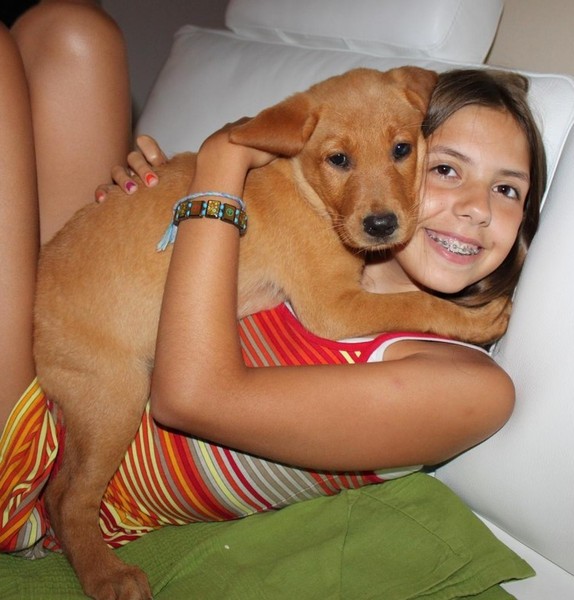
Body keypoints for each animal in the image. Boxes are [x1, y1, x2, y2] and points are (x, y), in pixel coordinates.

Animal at [34, 67, 509, 599]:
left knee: (57, 490)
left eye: (402, 149)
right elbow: (417, 301)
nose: (382, 225)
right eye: (338, 159)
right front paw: (476, 320)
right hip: (116, 395)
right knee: (70, 499)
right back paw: (107, 575)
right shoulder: (332, 307)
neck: (308, 190)